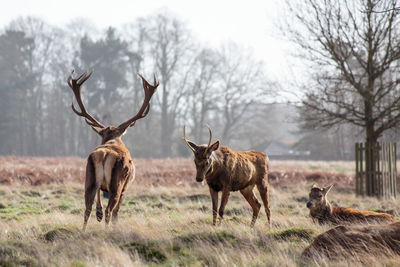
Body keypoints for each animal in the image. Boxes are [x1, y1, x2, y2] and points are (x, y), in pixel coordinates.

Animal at [67, 70, 158, 231]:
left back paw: (84, 230)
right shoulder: (125, 188)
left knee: (87, 208)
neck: (114, 139)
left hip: (89, 178)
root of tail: (104, 154)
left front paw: (98, 212)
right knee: (110, 211)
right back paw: (108, 230)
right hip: (117, 184)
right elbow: (117, 213)